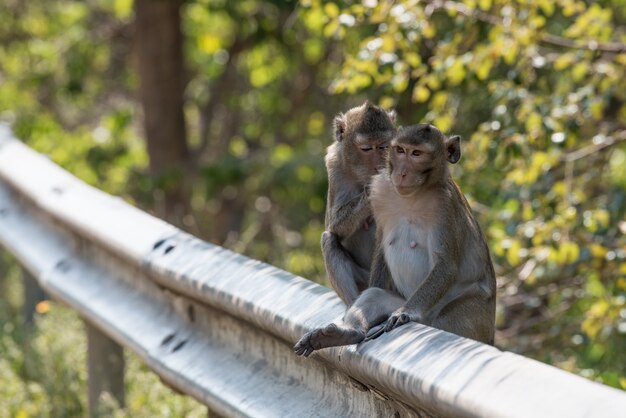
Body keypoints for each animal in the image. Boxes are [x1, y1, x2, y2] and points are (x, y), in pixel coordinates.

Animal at [294, 124, 494, 356]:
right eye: (400, 150)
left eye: (416, 154)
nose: (401, 173)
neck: (413, 195)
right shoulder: (380, 192)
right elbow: (381, 250)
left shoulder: (445, 204)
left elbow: (446, 264)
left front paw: (405, 313)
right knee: (373, 295)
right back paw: (344, 334)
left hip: (472, 315)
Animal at [320, 99, 398, 306]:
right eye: (366, 148)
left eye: (383, 146)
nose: (379, 166)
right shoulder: (334, 165)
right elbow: (333, 225)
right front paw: (371, 192)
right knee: (328, 239)